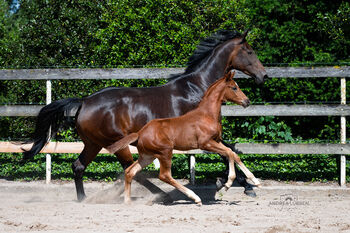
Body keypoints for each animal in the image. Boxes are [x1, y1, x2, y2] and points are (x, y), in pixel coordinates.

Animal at [108, 71, 262, 206]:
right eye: (234, 87)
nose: (247, 101)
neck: (207, 115)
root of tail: (140, 132)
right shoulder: (205, 144)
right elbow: (229, 153)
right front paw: (228, 183)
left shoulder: (216, 141)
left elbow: (233, 154)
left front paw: (255, 181)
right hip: (165, 152)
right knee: (164, 175)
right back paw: (195, 198)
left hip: (147, 156)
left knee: (130, 171)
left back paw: (128, 201)